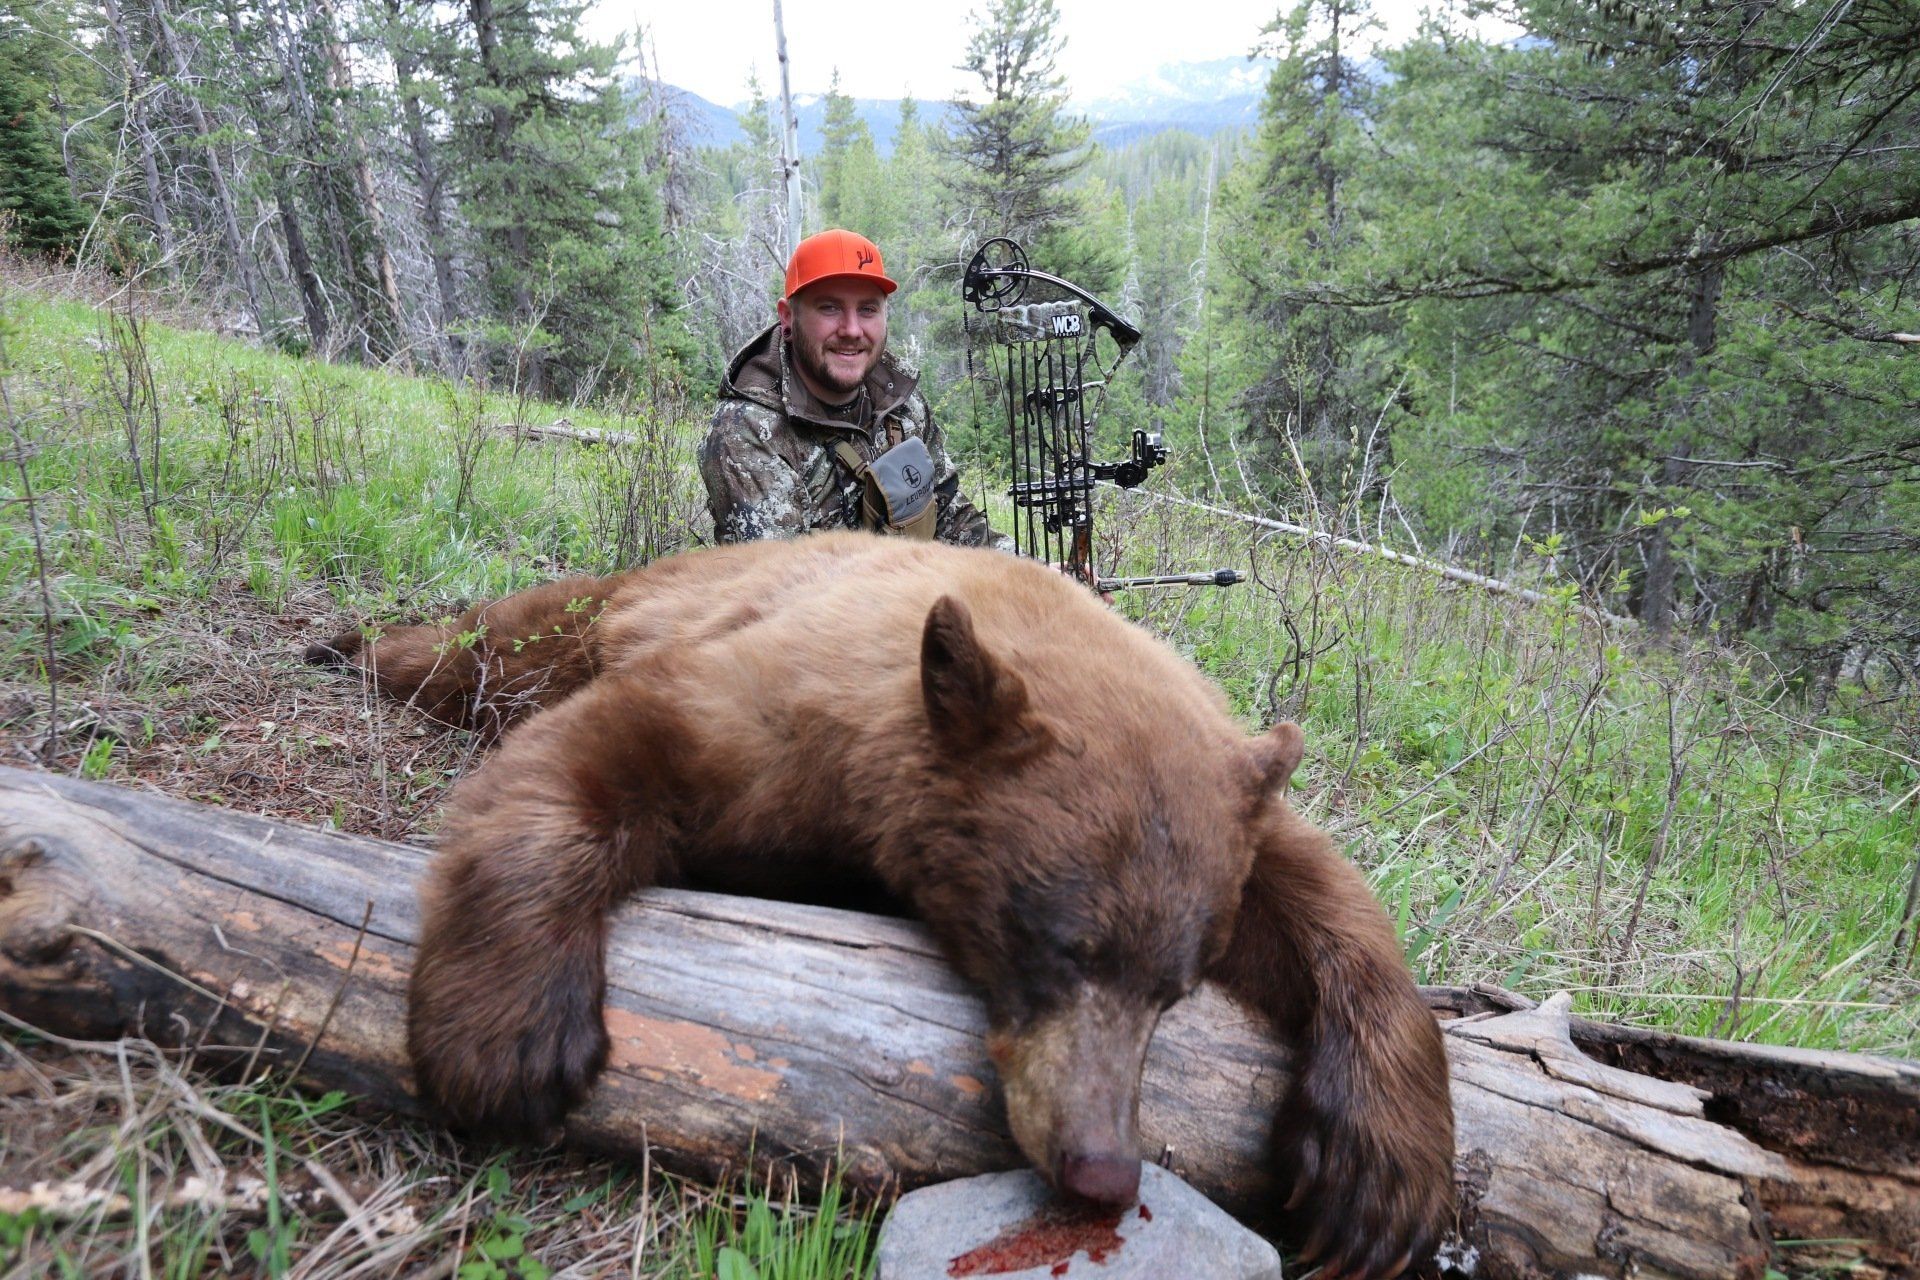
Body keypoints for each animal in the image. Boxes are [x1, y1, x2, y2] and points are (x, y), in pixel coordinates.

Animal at [307, 532, 1455, 1278]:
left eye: (1174, 990)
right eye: (1061, 944)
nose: (1100, 1166)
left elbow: (1332, 906)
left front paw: (1380, 1178)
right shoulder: (779, 712)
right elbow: (597, 750)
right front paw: (508, 1037)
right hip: (601, 609)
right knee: (483, 649)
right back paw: (348, 644)